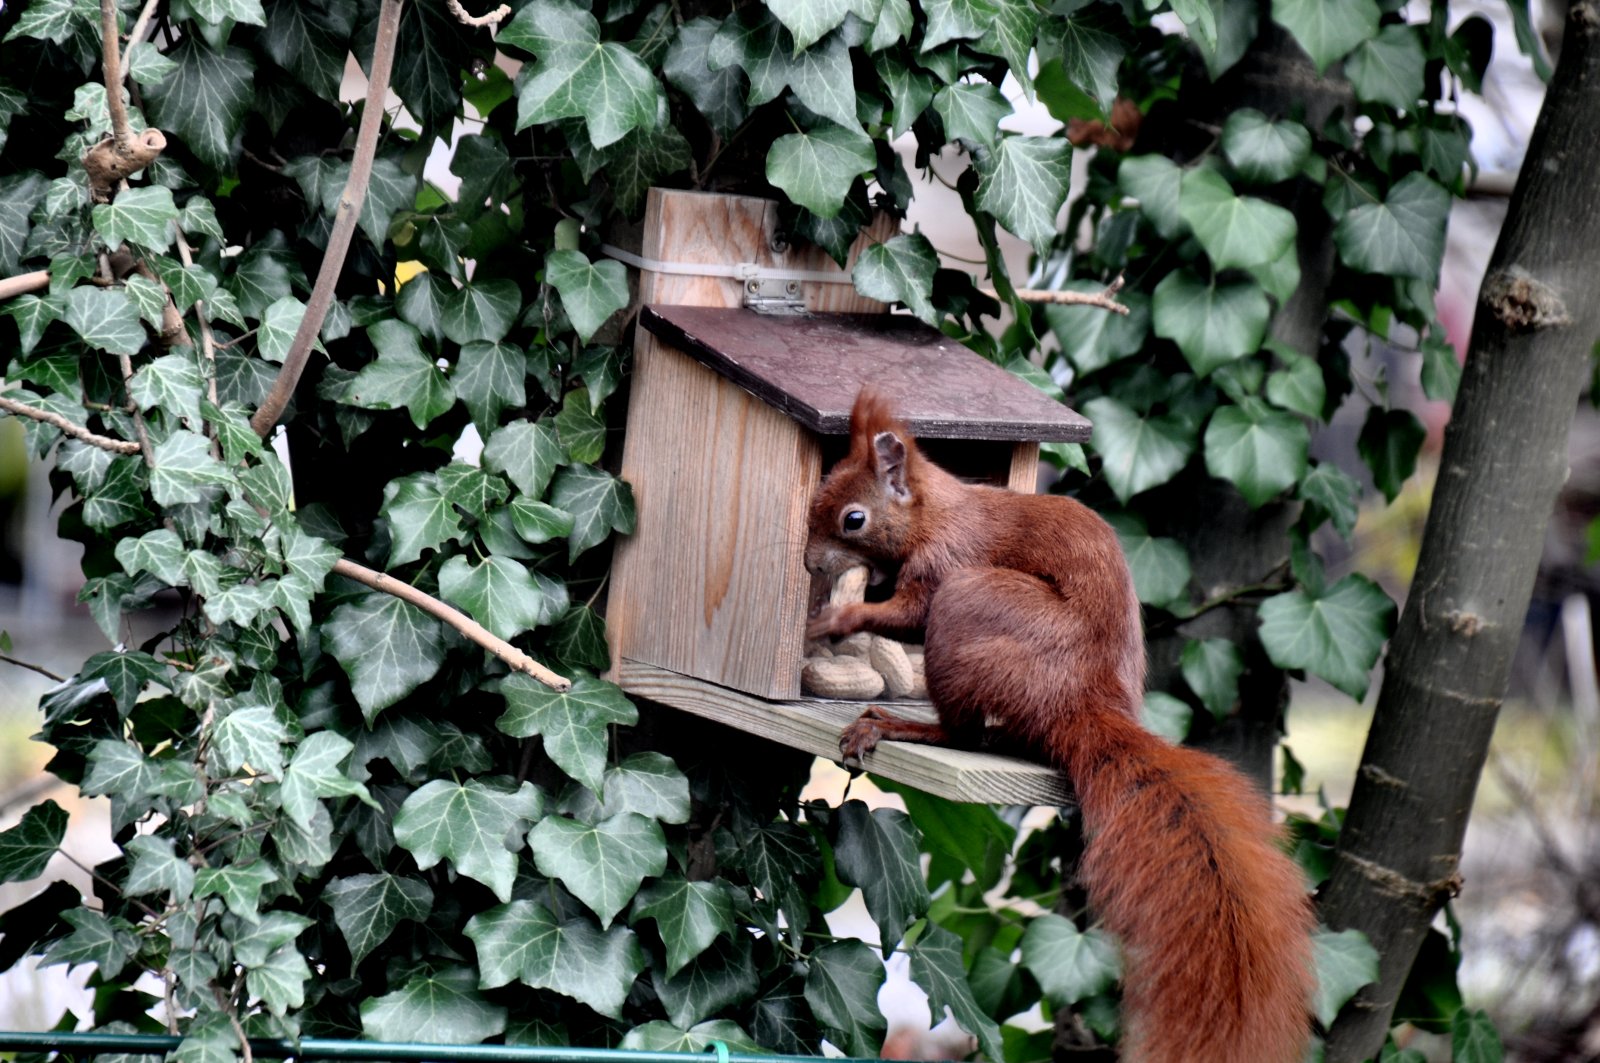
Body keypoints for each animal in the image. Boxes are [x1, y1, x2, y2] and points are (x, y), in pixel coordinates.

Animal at [800, 390, 1312, 1063]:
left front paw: (836, 621)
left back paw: (895, 725)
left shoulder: (948, 560)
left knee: (965, 734)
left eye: (852, 519)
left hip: (971, 602)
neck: (936, 513)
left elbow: (906, 614)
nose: (809, 563)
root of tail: (1081, 706)